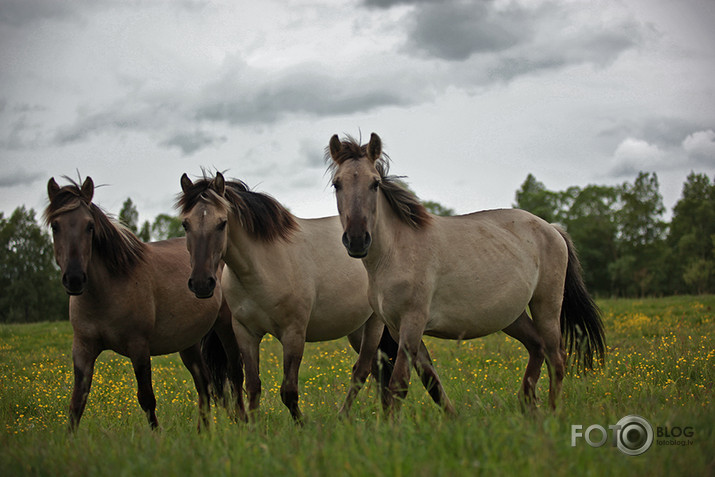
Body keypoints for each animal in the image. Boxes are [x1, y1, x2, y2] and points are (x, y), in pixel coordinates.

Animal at [45, 177, 246, 430]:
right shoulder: (83, 349)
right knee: (204, 384)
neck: (106, 291)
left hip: (225, 327)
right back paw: (203, 432)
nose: (74, 278)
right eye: (55, 226)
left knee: (235, 372)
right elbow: (76, 403)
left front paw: (157, 436)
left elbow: (147, 398)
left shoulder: (138, 347)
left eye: (89, 226)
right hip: (188, 342)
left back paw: (243, 421)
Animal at [177, 172, 454, 424]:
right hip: (361, 329)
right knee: (388, 368)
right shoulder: (245, 332)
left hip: (376, 323)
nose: (201, 283)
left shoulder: (293, 333)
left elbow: (288, 391)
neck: (263, 265)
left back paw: (345, 417)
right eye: (185, 224)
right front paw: (252, 431)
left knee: (363, 370)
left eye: (222, 223)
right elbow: (253, 386)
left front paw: (302, 426)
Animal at [328, 134, 604, 412]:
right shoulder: (397, 328)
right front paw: (451, 417)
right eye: (336, 184)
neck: (394, 253)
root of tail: (553, 228)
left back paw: (552, 412)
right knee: (537, 347)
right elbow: (430, 380)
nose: (356, 240)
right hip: (512, 316)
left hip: (546, 305)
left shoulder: (412, 323)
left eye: (374, 183)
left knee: (556, 357)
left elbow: (399, 384)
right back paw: (527, 404)